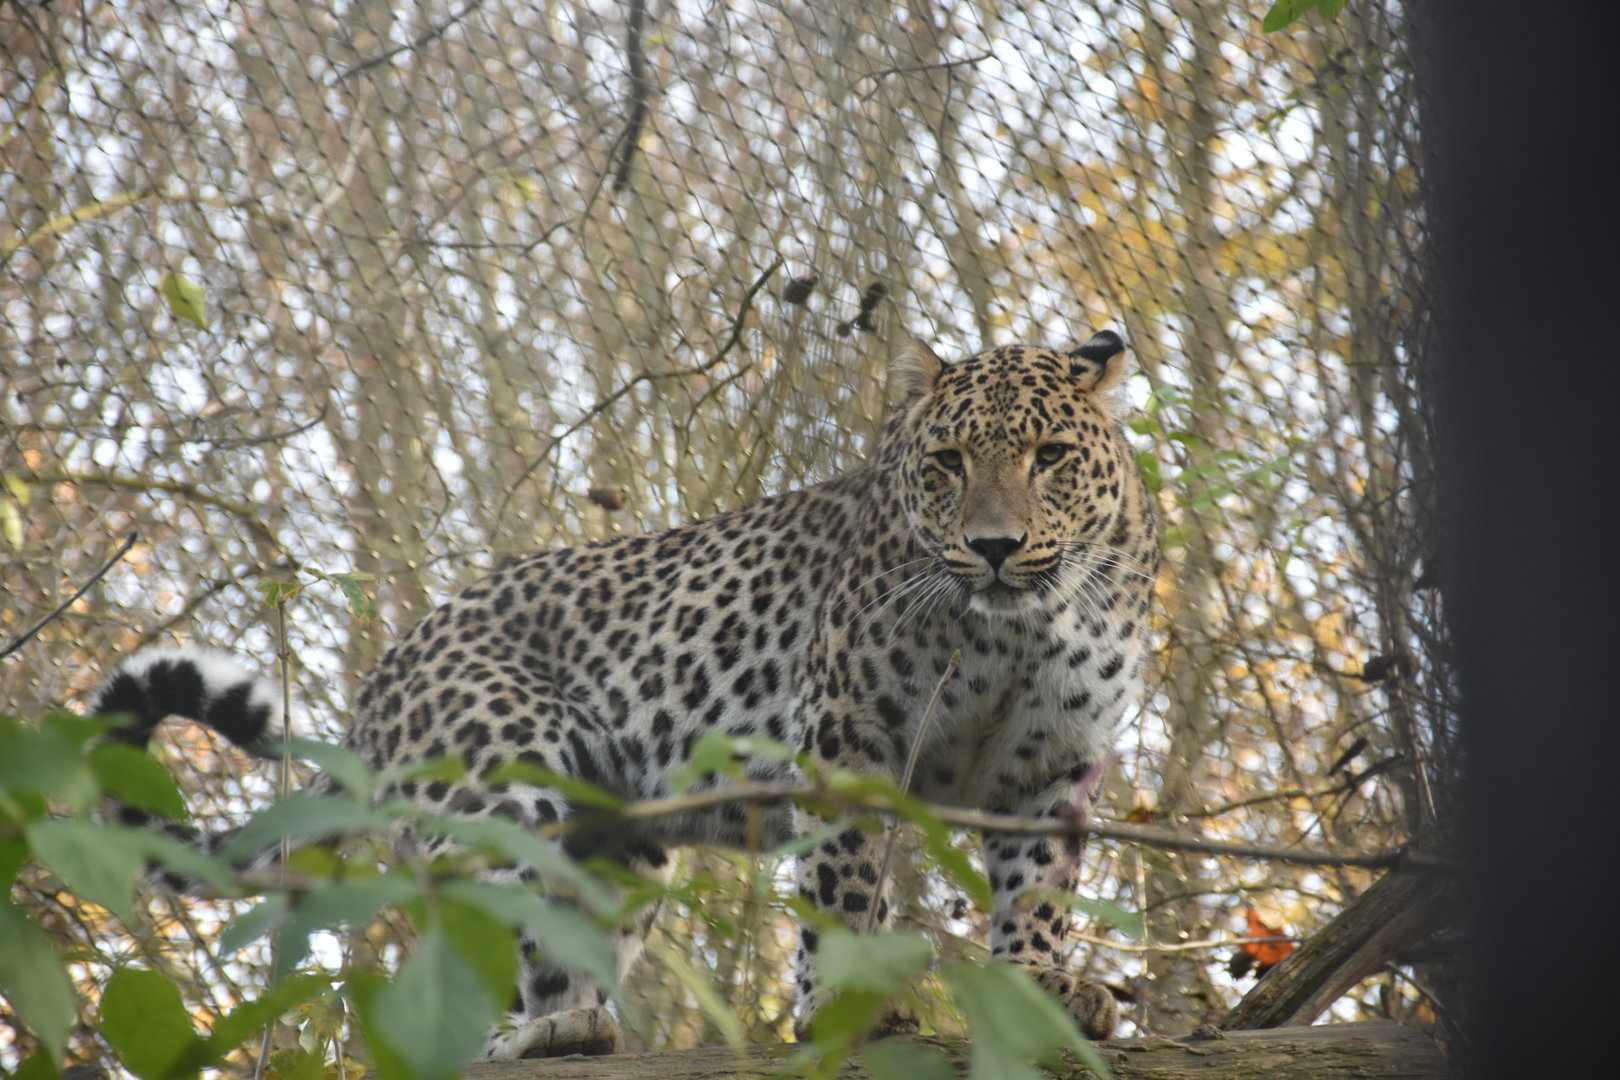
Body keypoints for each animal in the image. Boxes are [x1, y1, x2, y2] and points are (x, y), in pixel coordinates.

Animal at [93, 330, 1159, 1058]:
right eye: (947, 465)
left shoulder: (1052, 762)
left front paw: (1044, 987)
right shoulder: (848, 734)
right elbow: (845, 878)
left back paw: (575, 1029)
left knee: (557, 955)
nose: (994, 546)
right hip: (497, 785)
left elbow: (1038, 890)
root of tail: (384, 676)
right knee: (474, 962)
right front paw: (845, 1000)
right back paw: (529, 1039)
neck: (1020, 624)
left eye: (1051, 458)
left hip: (617, 853)